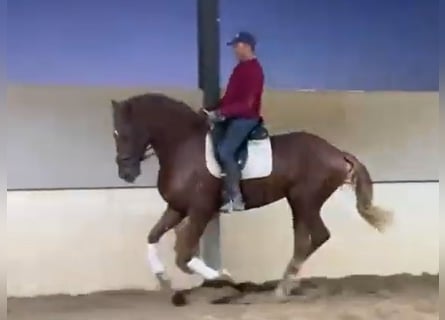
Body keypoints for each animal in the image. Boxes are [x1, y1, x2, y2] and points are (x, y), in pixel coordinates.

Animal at [111, 94, 392, 304]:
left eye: (124, 133)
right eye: (115, 133)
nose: (126, 173)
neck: (183, 147)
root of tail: (336, 152)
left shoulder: (201, 209)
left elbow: (183, 255)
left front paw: (224, 277)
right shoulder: (177, 208)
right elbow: (153, 237)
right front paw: (162, 277)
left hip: (306, 200)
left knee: (319, 236)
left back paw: (283, 286)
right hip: (298, 202)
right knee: (303, 241)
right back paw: (284, 286)